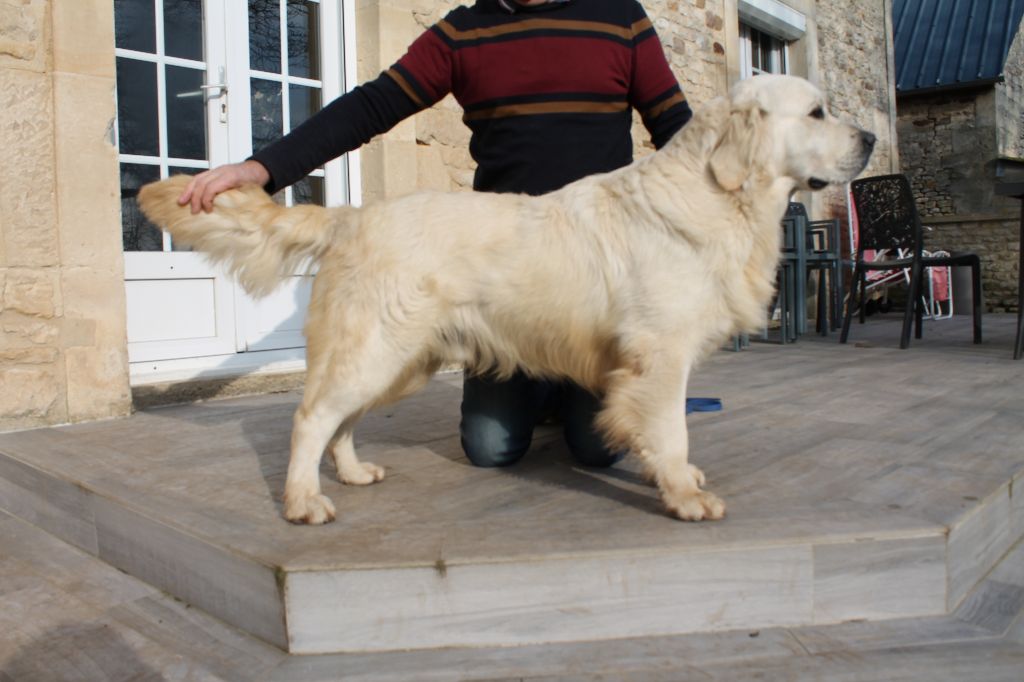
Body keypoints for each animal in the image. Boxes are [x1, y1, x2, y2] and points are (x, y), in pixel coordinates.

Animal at [138, 73, 872, 520]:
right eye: (817, 112)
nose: (869, 139)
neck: (720, 194)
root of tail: (353, 217)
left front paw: (683, 484)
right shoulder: (659, 358)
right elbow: (672, 431)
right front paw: (684, 497)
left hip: (400, 359)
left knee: (340, 421)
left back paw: (350, 473)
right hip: (376, 348)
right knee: (311, 418)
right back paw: (303, 502)